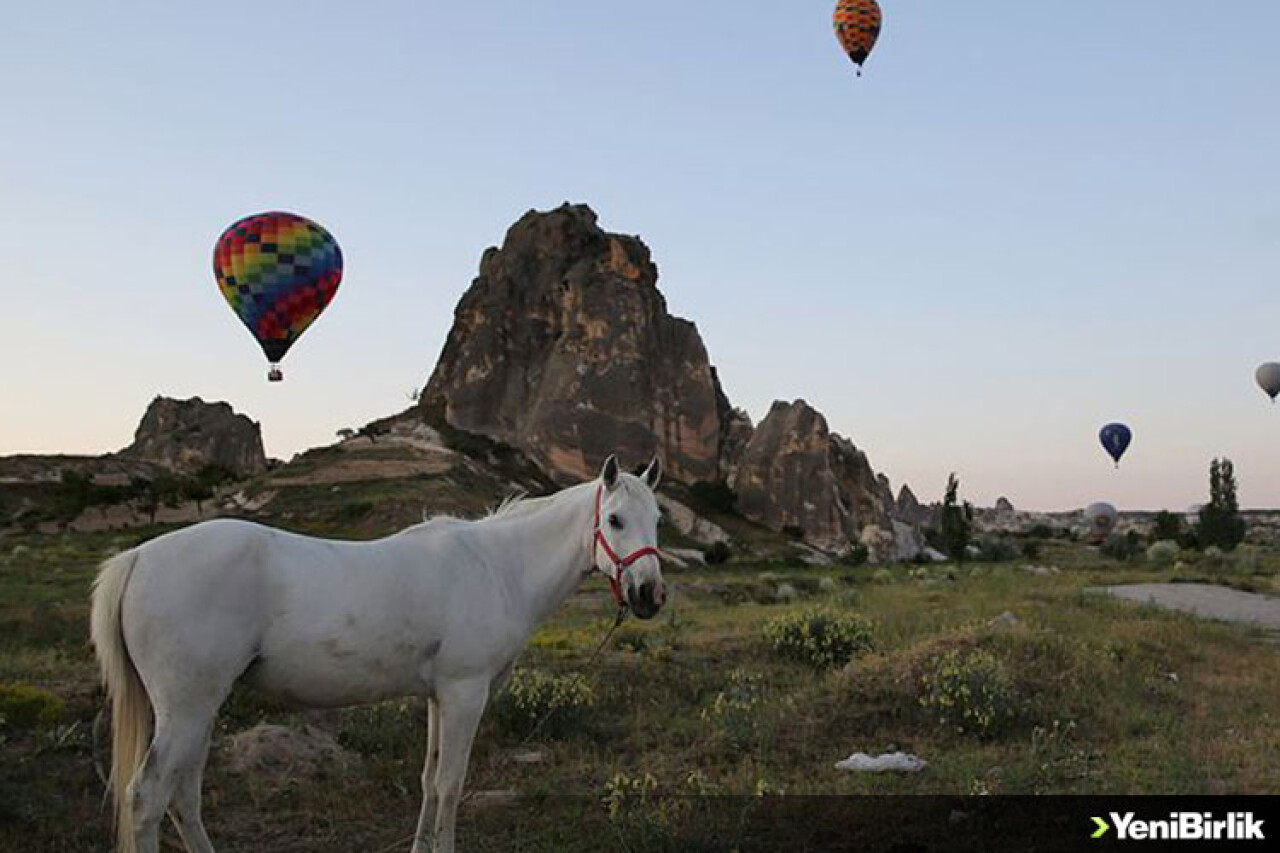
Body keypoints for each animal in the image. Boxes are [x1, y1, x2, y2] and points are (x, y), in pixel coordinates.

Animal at [93, 455, 665, 845]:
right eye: (615, 520)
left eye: (658, 520)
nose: (649, 595)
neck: (497, 565)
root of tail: (139, 556)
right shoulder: (465, 694)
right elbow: (451, 784)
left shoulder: (438, 696)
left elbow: (430, 780)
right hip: (187, 709)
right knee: (147, 798)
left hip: (199, 710)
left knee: (182, 796)